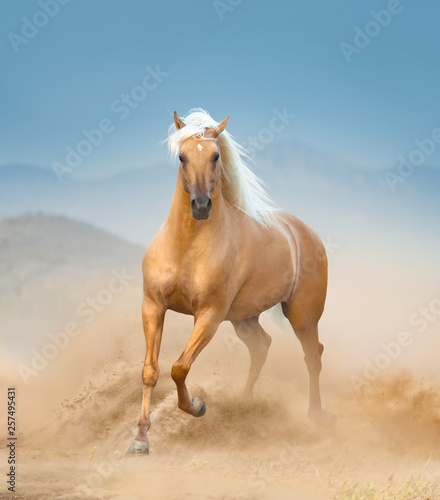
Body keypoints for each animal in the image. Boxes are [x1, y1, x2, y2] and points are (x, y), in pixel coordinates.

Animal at [129, 111, 336, 456]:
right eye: (182, 156)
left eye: (215, 156)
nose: (200, 206)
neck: (185, 246)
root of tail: (305, 232)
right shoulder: (153, 306)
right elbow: (150, 371)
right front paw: (140, 439)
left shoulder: (209, 316)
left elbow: (179, 367)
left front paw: (197, 406)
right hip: (244, 319)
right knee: (262, 346)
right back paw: (245, 405)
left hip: (302, 317)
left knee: (313, 356)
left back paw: (315, 416)